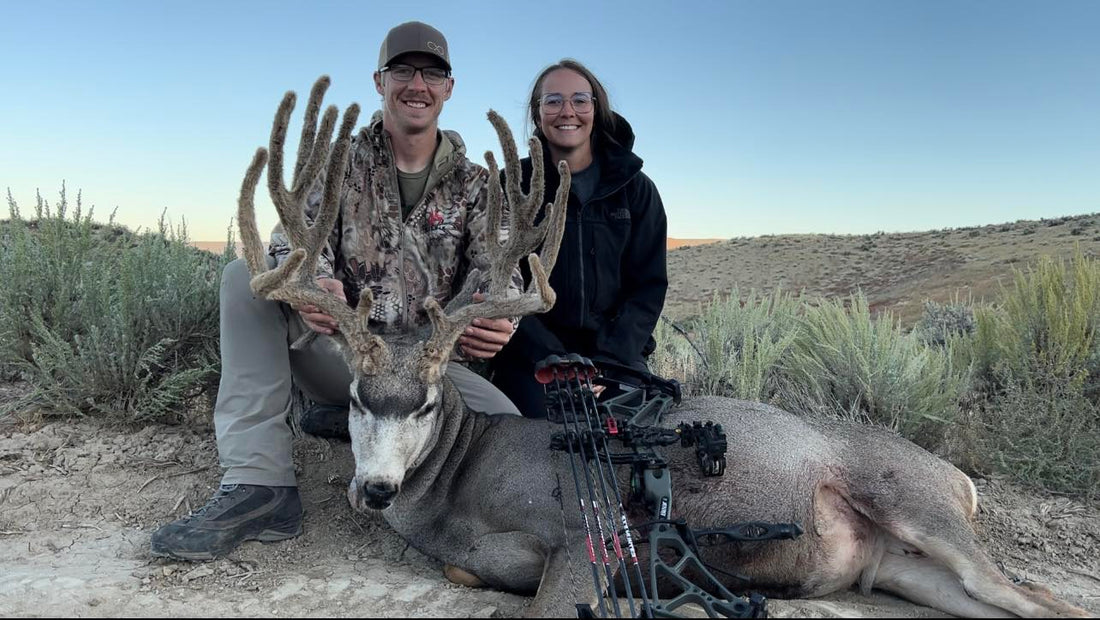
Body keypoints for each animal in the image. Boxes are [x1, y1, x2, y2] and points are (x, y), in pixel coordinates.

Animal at [235, 76, 1090, 619]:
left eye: (425, 403)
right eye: (356, 398)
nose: (375, 489)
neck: (459, 489)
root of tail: (962, 479)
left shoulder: (584, 541)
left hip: (919, 506)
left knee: (1045, 599)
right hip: (902, 569)